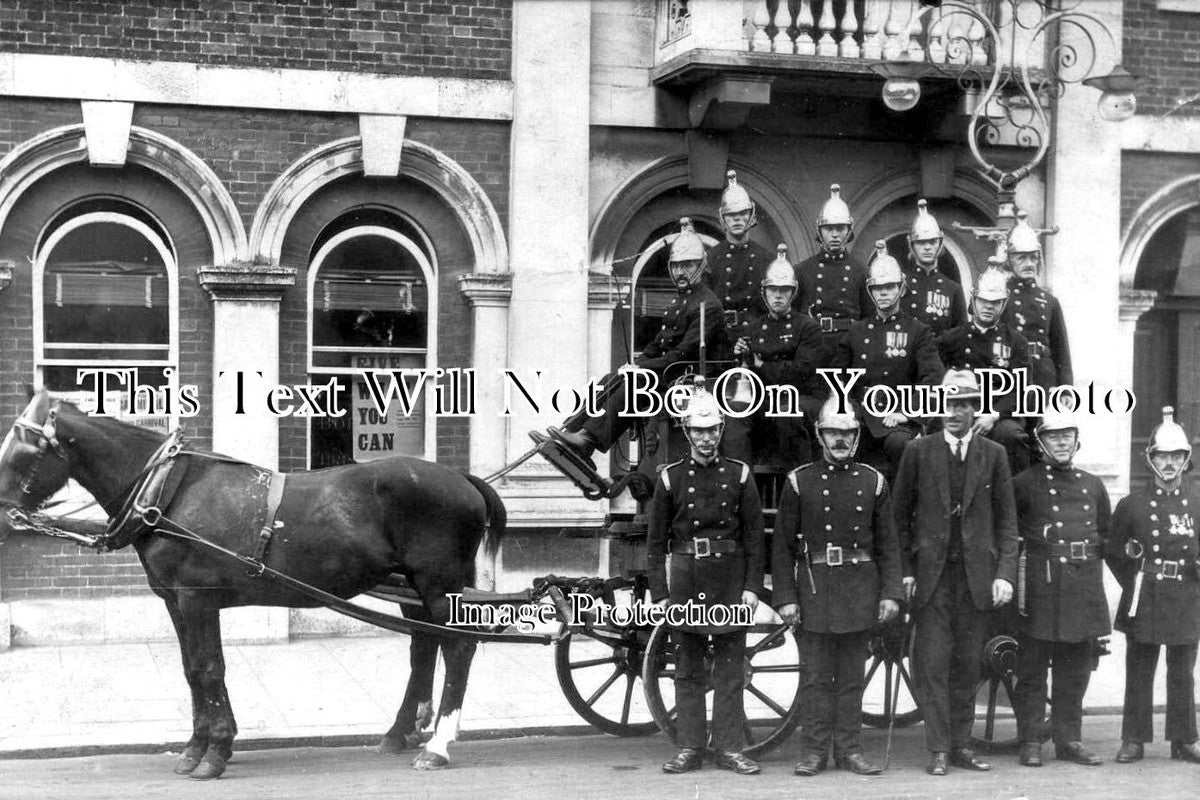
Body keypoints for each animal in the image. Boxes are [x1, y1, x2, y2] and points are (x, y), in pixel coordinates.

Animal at [0, 391, 506, 777]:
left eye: (22, 453)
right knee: (424, 646)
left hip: (440, 583)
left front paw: (216, 752)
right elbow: (191, 670)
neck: (165, 491)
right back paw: (400, 732)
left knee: (458, 647)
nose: (4, 516)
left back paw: (438, 745)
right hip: (413, 588)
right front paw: (195, 747)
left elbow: (209, 669)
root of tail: (460, 477)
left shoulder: (198, 600)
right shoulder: (176, 603)